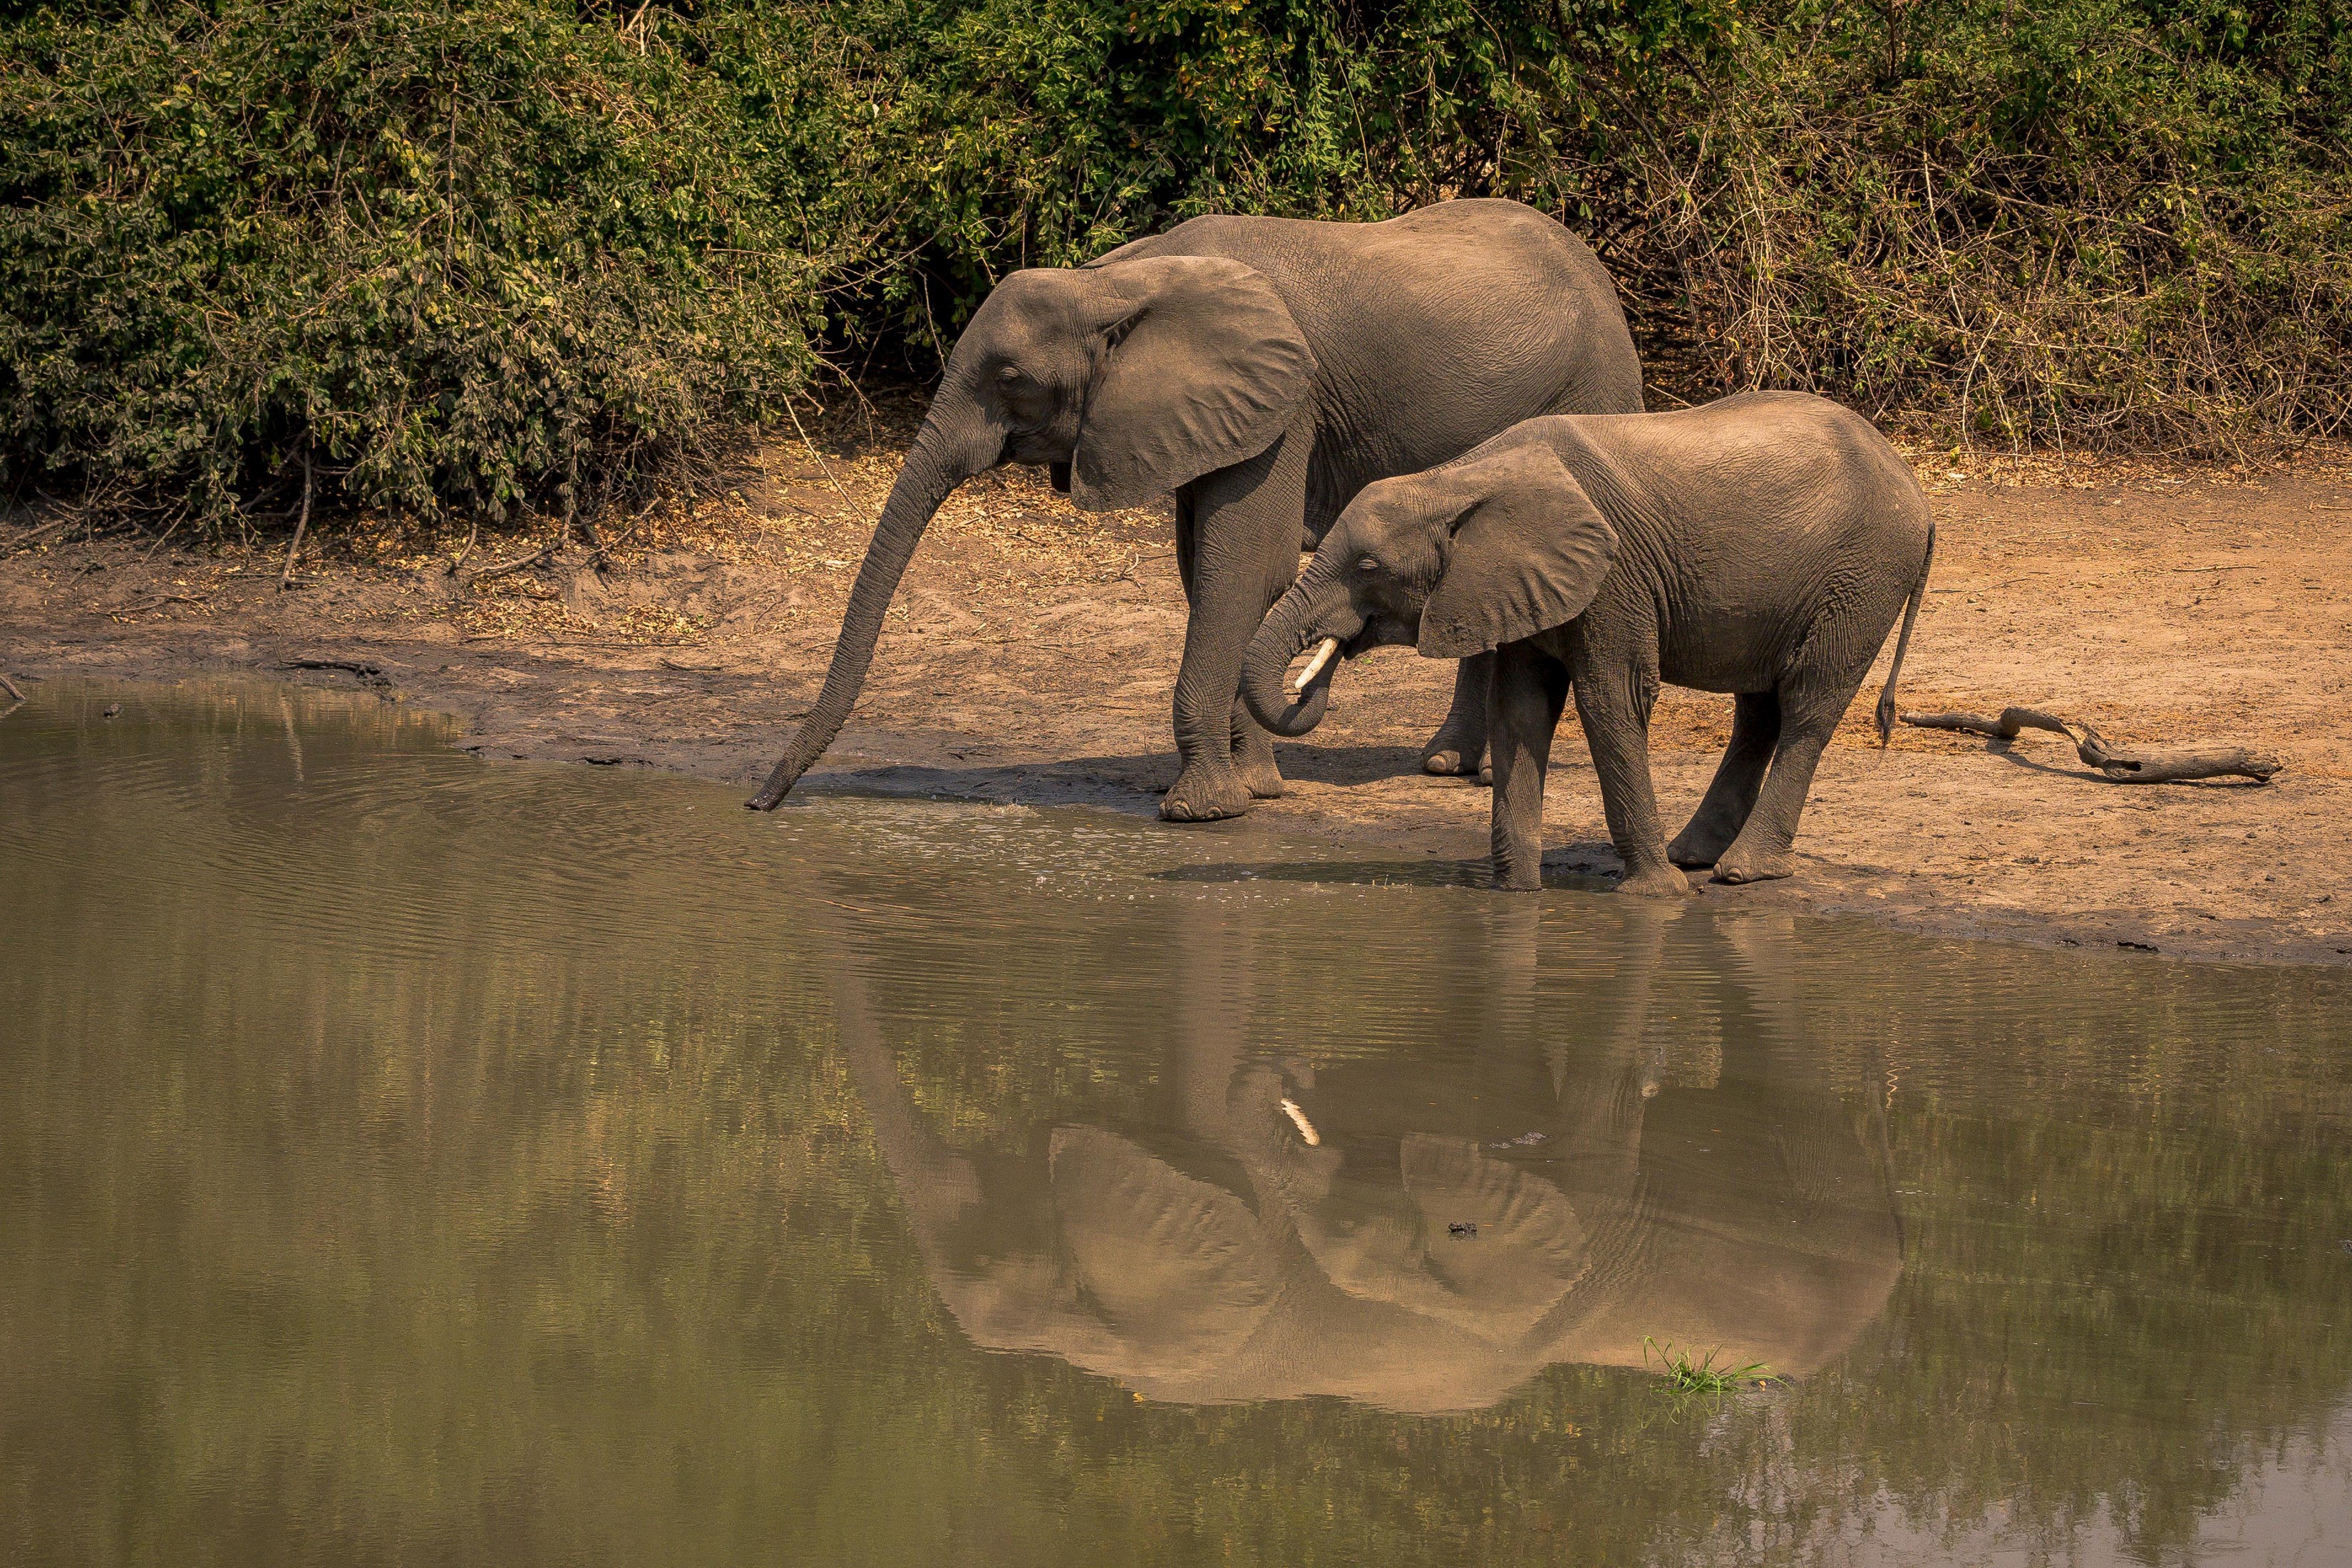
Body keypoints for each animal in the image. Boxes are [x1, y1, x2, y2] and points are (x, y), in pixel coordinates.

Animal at [746, 198, 1645, 823]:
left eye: (1010, 380)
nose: (758, 804)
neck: (1117, 278)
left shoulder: (1288, 400)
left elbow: (1242, 562)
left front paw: (1201, 809)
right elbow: (1206, 566)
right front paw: (1256, 785)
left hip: (1595, 380)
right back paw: (1450, 767)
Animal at [1240, 391, 1937, 895]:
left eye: (1367, 567)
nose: (1309, 684)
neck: (1459, 479)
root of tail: (1915, 488)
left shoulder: (1613, 577)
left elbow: (1612, 703)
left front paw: (1657, 898)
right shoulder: (1519, 582)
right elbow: (1519, 711)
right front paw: (1514, 896)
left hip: (1863, 578)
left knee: (1808, 706)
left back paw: (1739, 871)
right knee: (1759, 708)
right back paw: (1693, 855)